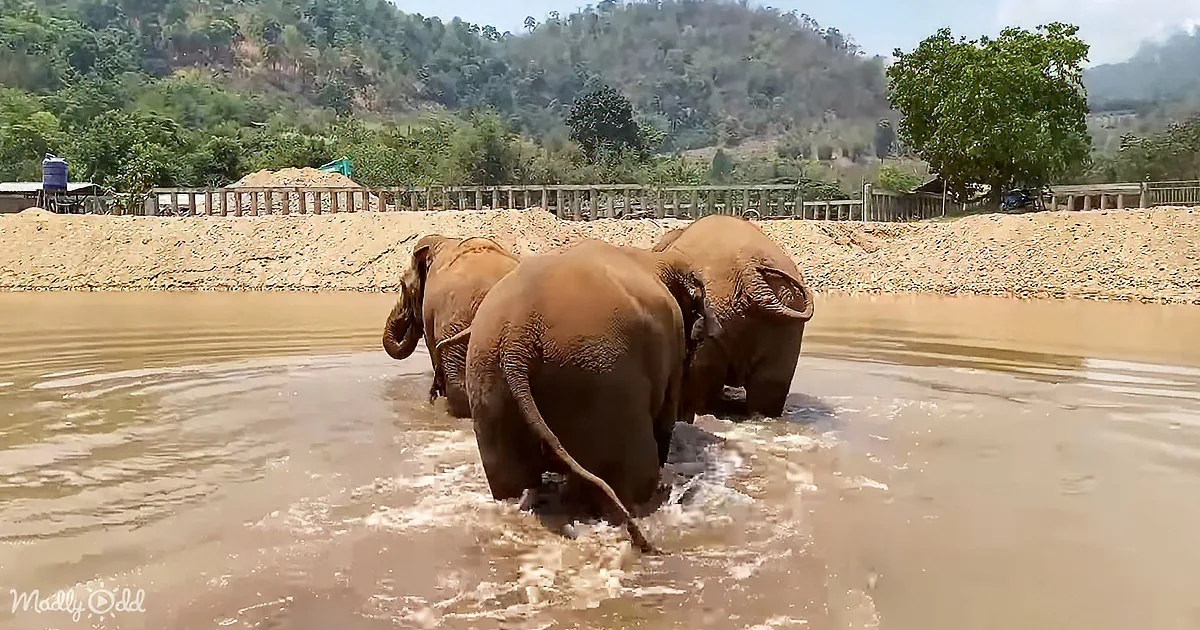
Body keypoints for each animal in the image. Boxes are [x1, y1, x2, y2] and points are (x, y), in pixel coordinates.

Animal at [444, 239, 719, 553]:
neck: (656, 260)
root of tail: (518, 336)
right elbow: (665, 418)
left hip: (488, 375)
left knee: (509, 478)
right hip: (600, 378)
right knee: (633, 470)